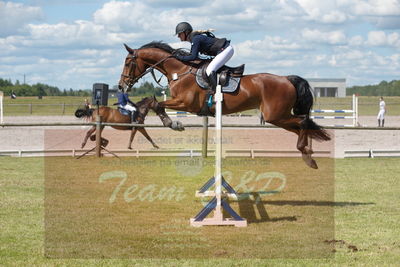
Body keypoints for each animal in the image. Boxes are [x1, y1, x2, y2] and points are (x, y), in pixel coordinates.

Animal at [119, 41, 332, 170]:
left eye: (128, 62)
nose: (121, 85)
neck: (180, 70)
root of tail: (287, 79)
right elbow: (154, 101)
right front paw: (168, 121)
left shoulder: (186, 103)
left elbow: (157, 103)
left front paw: (173, 124)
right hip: (278, 117)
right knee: (300, 125)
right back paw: (307, 153)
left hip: (275, 115)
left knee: (302, 121)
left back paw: (308, 157)